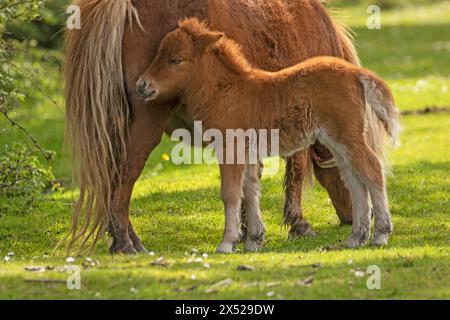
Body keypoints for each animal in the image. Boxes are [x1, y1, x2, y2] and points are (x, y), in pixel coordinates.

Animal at [64, 0, 366, 255]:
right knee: (125, 176)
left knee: (111, 179)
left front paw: (248, 232)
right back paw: (125, 242)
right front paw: (297, 224)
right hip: (146, 124)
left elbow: (248, 180)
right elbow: (296, 169)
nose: (353, 216)